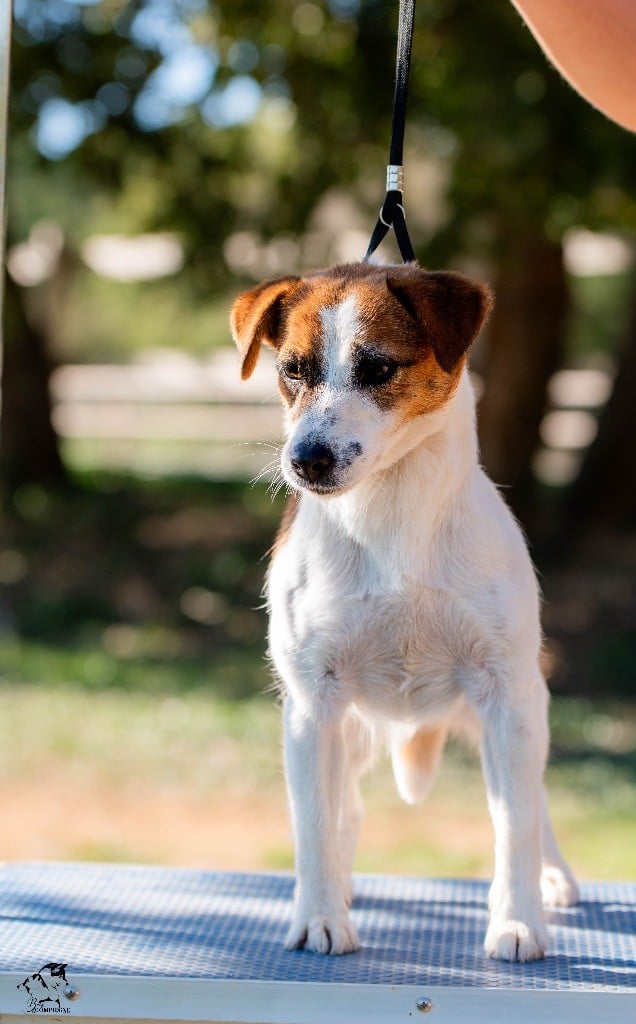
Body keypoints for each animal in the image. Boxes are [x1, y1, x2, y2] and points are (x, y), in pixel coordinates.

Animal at [230, 262, 577, 958]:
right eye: (292, 370)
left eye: (378, 368)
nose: (305, 460)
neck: (390, 515)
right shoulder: (313, 705)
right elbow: (314, 822)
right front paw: (319, 915)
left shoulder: (507, 697)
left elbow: (517, 823)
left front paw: (518, 918)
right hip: (351, 730)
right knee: (346, 808)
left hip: (510, 716)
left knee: (531, 801)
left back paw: (548, 877)